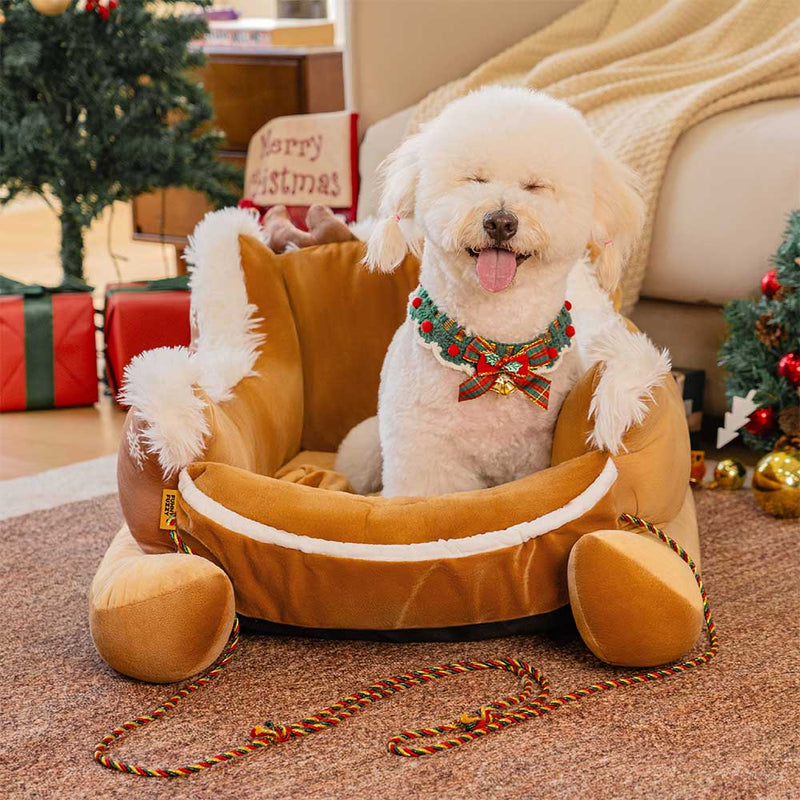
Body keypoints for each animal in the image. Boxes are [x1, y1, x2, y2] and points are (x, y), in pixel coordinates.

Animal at [336, 89, 668, 500]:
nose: (499, 221)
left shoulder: (533, 459)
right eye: (474, 178)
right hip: (367, 447)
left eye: (536, 186)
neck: (497, 350)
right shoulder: (428, 459)